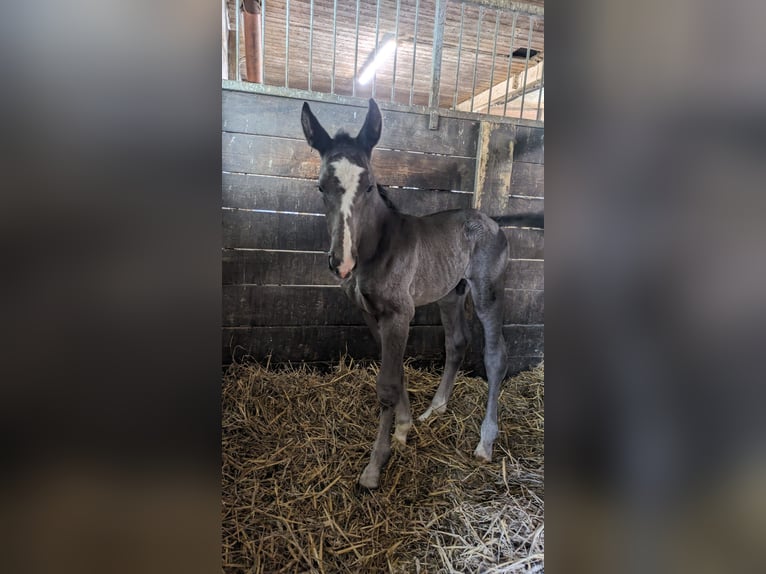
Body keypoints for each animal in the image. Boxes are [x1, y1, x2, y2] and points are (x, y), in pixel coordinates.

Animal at [300, 99, 540, 490]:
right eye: (321, 187)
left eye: (370, 186)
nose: (342, 263)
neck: (377, 247)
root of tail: (492, 220)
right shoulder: (370, 313)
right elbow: (396, 371)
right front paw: (404, 427)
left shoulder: (400, 314)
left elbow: (387, 385)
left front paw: (374, 467)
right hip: (451, 293)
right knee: (457, 342)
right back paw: (435, 409)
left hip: (487, 291)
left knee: (495, 355)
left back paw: (485, 443)